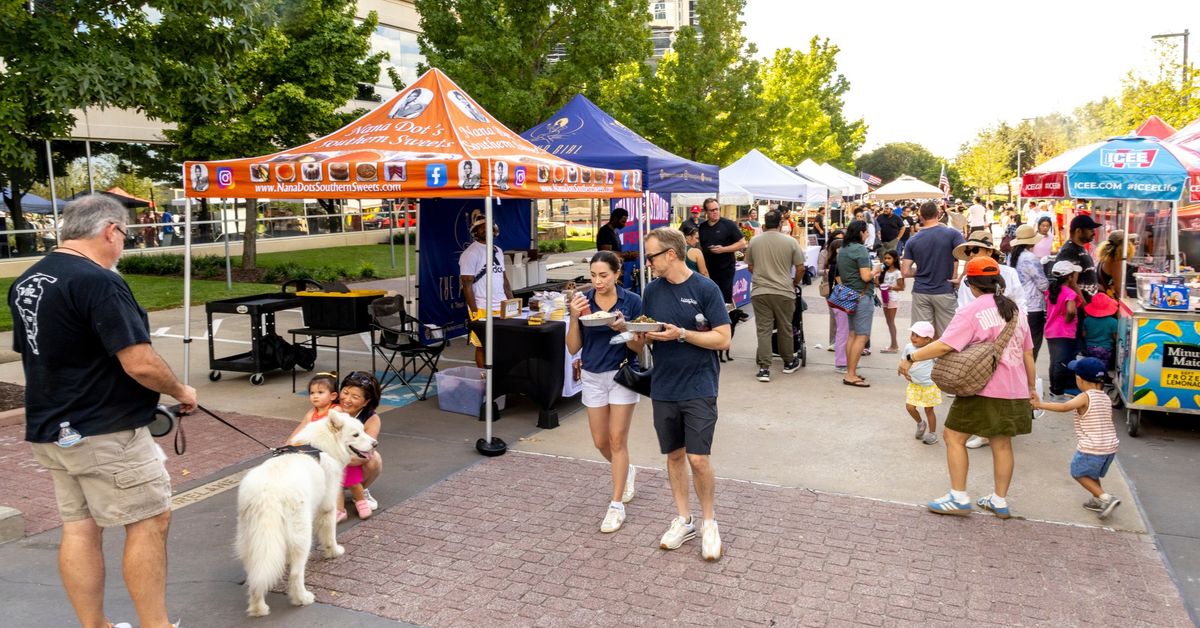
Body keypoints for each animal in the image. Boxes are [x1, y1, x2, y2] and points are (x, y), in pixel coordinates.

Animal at [236, 410, 376, 614]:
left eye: (363, 430)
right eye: (356, 435)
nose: (375, 444)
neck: (320, 446)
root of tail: (267, 494)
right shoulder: (328, 505)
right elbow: (330, 534)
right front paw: (334, 552)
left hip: (250, 539)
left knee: (256, 574)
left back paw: (258, 608)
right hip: (302, 535)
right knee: (296, 574)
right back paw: (302, 598)